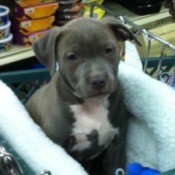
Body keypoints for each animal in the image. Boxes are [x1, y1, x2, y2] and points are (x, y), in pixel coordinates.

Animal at [25, 16, 139, 175]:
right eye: (72, 57)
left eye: (108, 50)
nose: (98, 80)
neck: (92, 104)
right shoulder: (60, 147)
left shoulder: (117, 143)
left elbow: (114, 168)